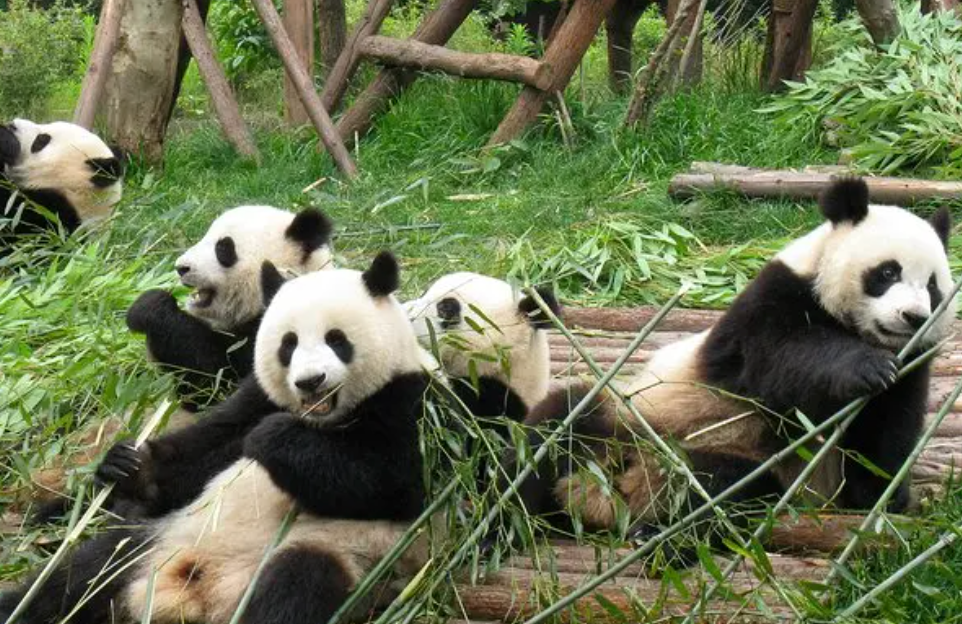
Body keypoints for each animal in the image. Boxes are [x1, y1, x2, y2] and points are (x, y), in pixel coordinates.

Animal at [0, 252, 435, 624]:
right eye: (288, 344)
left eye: (336, 339)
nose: (310, 381)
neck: (323, 419)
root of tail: (196, 594)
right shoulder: (255, 396)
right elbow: (207, 449)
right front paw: (129, 466)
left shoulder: (410, 402)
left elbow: (390, 481)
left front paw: (274, 438)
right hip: (156, 539)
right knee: (80, 576)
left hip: (334, 554)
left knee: (295, 587)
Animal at [507, 177, 955, 542]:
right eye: (888, 273)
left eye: (933, 286)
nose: (913, 317)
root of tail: (609, 494)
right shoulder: (768, 305)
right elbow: (784, 361)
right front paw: (865, 367)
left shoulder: (914, 363)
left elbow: (884, 439)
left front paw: (886, 496)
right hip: (628, 416)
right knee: (555, 430)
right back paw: (508, 521)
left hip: (748, 469)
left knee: (722, 491)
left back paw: (661, 534)